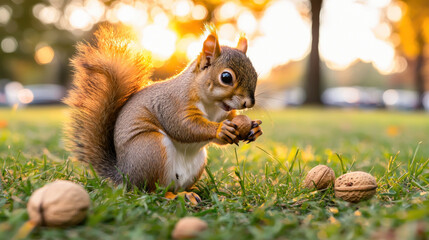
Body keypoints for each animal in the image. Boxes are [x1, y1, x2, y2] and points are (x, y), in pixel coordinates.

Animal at [64, 23, 260, 201]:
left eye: (256, 73)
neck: (212, 105)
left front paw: (254, 128)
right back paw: (175, 196)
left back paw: (197, 191)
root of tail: (125, 177)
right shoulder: (173, 104)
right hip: (151, 149)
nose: (249, 102)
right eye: (226, 77)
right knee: (152, 191)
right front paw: (220, 129)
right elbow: (183, 127)